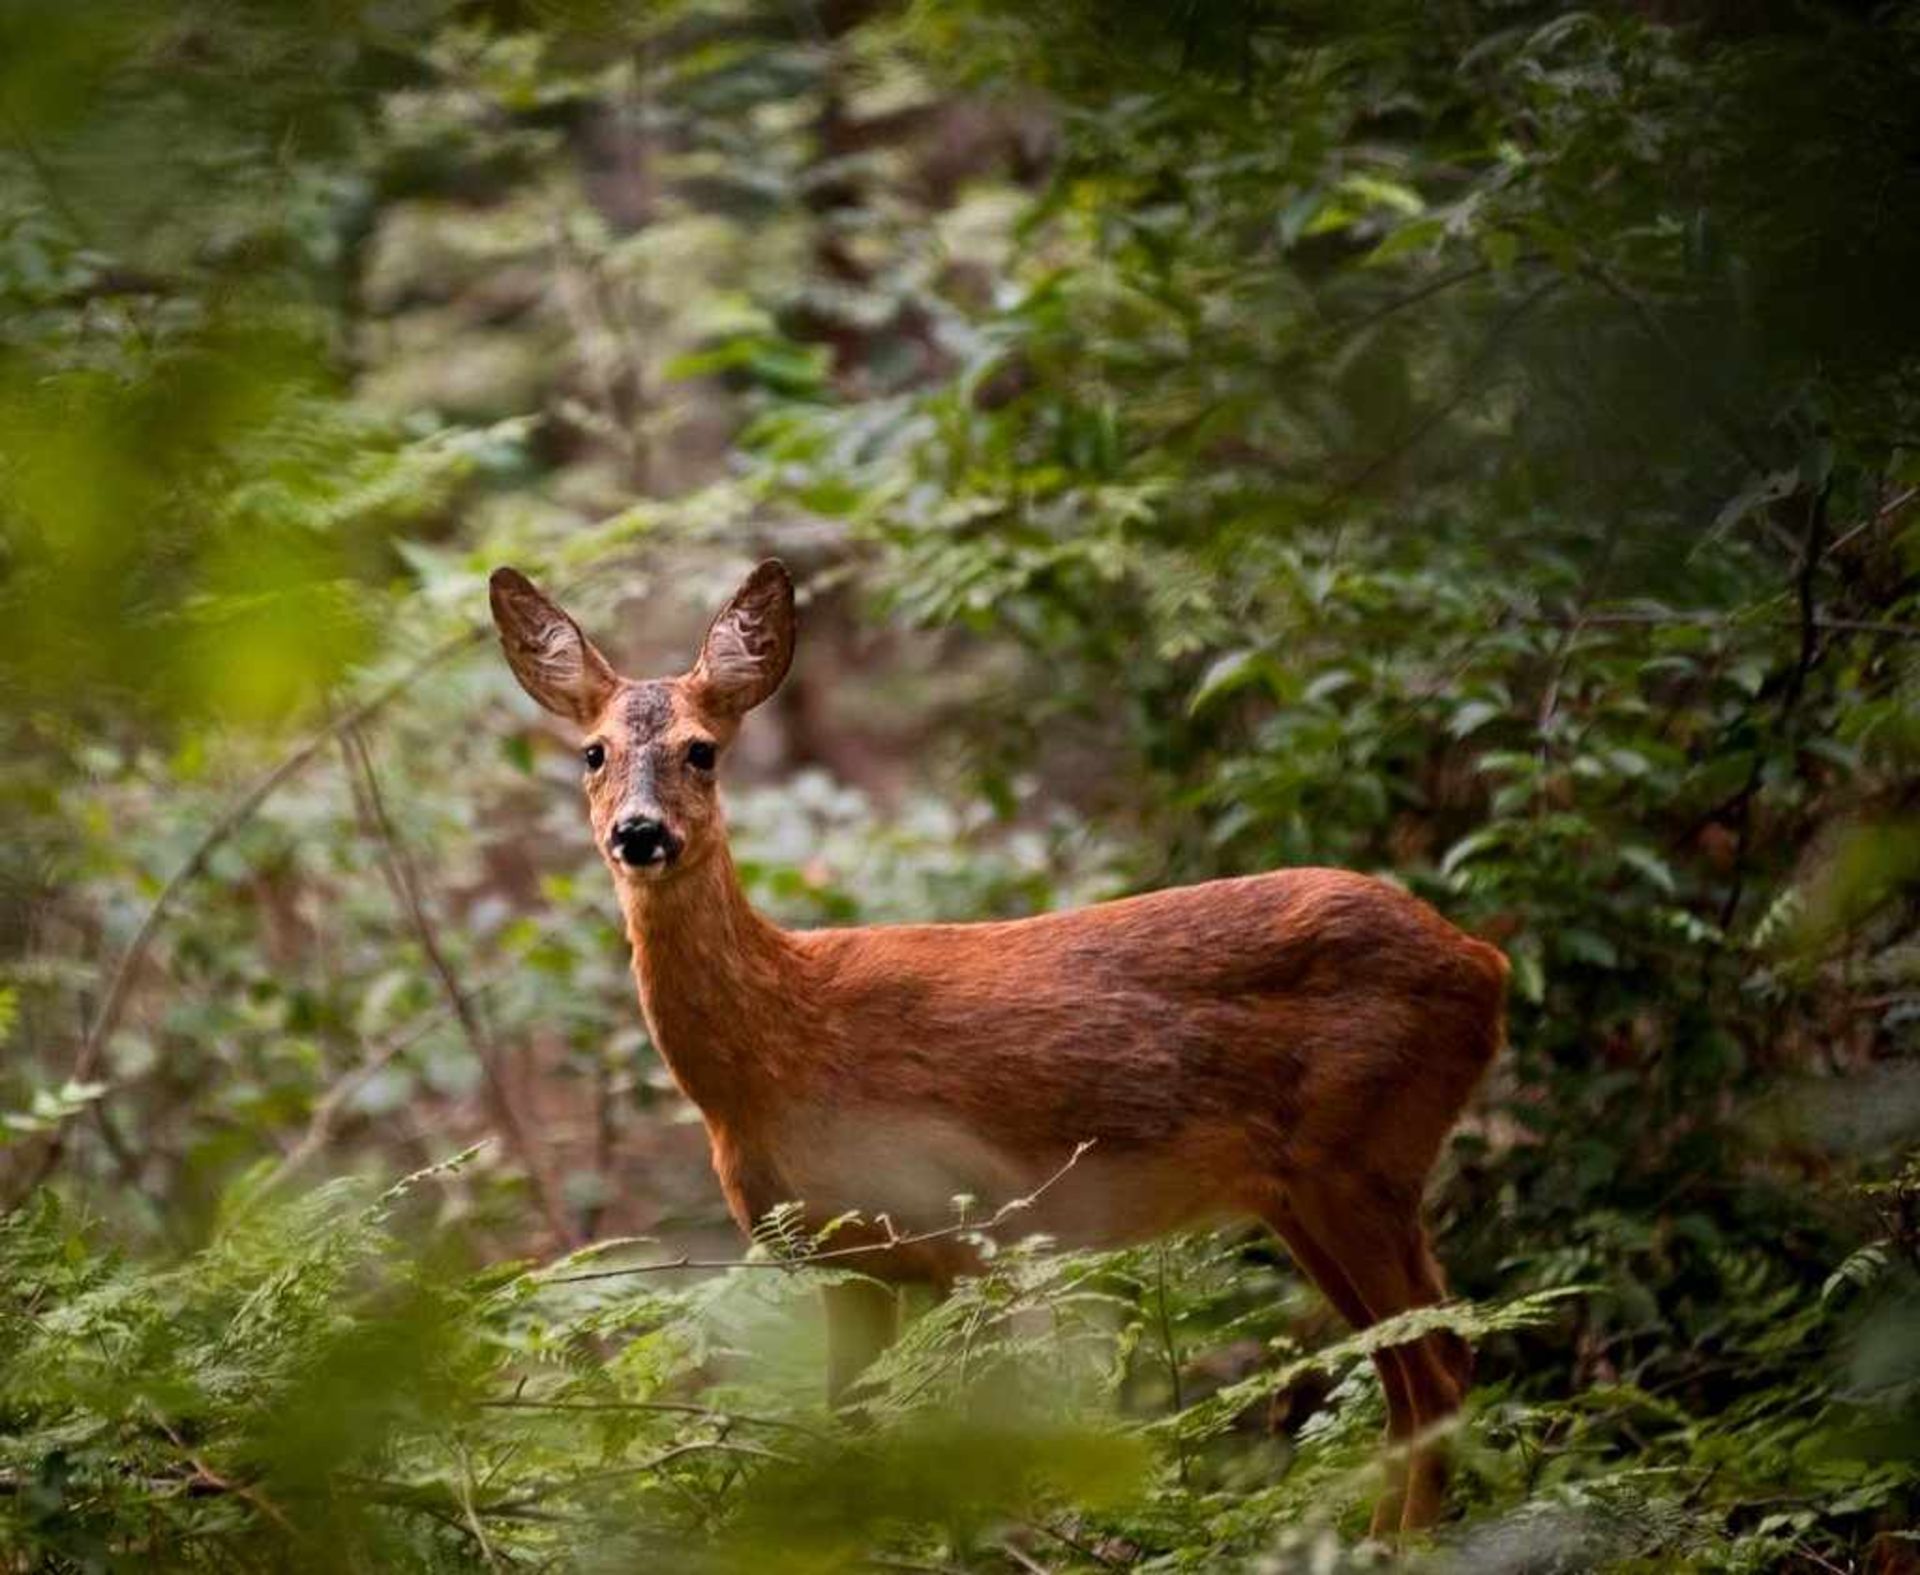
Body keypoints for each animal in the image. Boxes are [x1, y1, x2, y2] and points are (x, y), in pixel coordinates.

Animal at [487, 560, 1505, 1528]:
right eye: (593, 752)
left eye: (702, 751)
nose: (639, 832)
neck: (778, 1050)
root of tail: (1486, 964)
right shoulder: (845, 1260)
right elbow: (848, 1434)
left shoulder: (965, 1222)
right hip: (1310, 1189)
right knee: (1417, 1365)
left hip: (1360, 1154)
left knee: (1439, 1364)